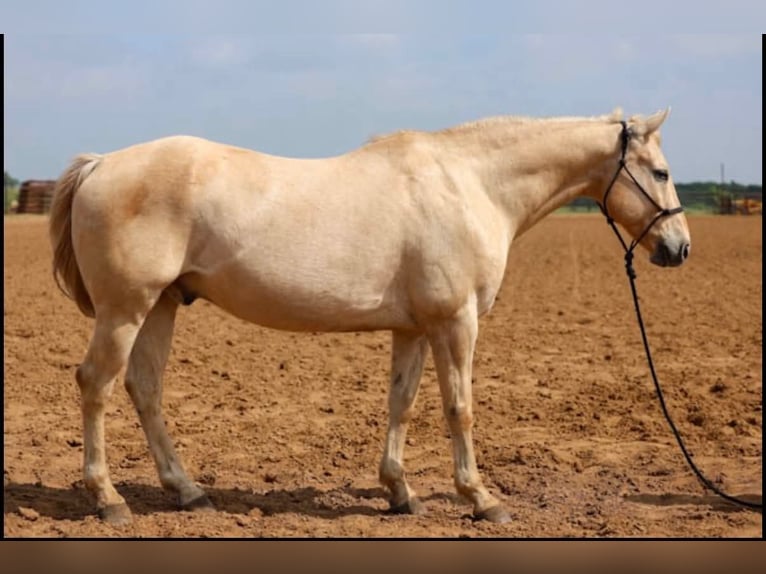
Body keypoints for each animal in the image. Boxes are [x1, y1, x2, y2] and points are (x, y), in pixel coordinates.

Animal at [49, 108, 690, 526]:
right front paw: (481, 499)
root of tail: (101, 164)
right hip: (125, 309)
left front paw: (401, 493)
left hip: (159, 305)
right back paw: (108, 499)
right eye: (660, 171)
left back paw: (187, 491)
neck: (470, 185)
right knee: (97, 385)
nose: (679, 248)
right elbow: (459, 408)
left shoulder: (413, 328)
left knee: (145, 388)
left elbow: (401, 404)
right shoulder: (455, 322)